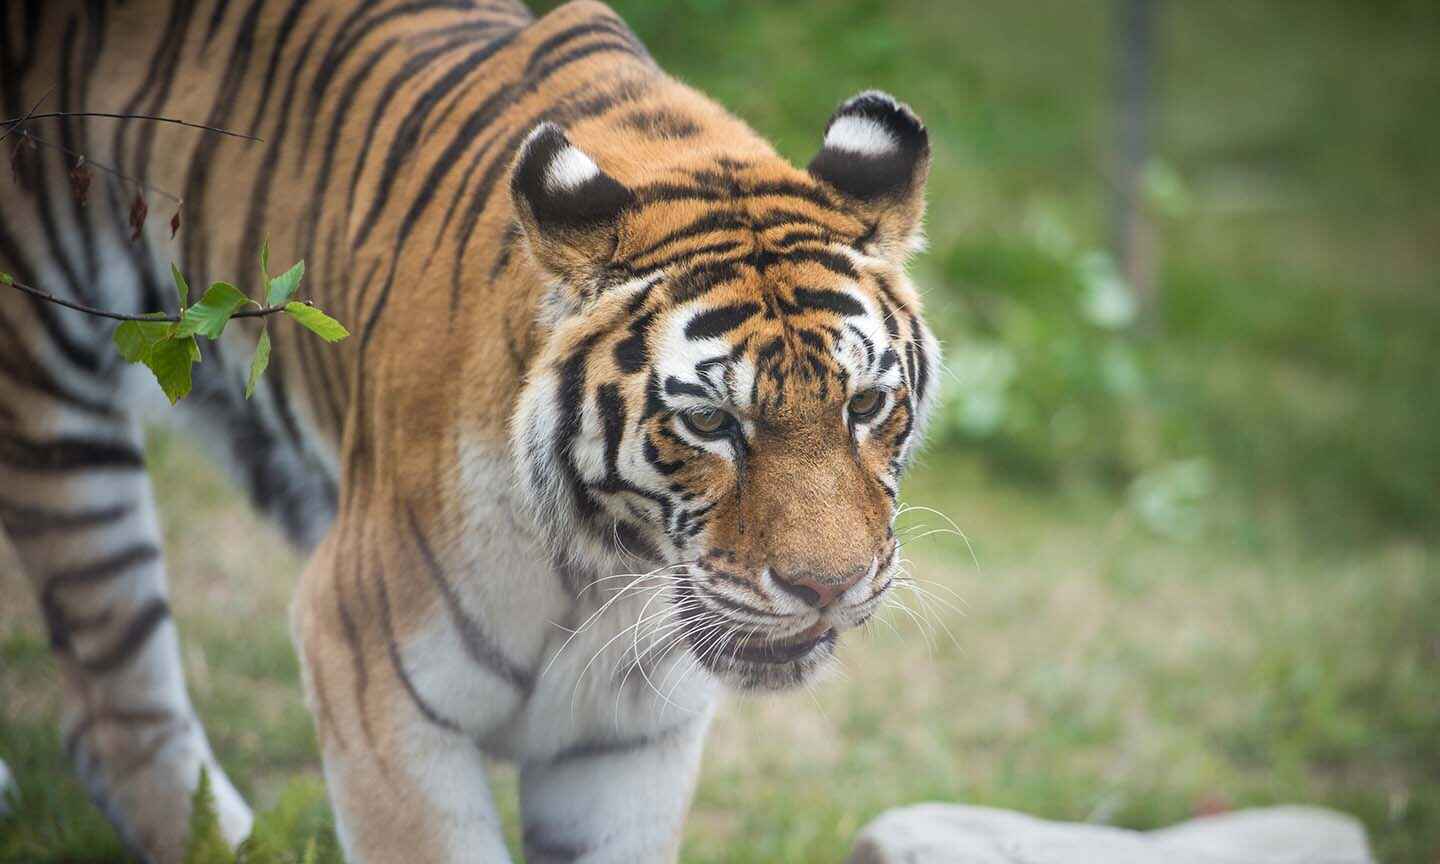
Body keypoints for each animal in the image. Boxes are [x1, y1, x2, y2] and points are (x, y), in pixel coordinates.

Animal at [0, 0, 940, 861]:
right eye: (709, 421)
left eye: (863, 406)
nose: (829, 587)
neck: (604, 572)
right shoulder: (368, 671)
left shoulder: (629, 740)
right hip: (53, 406)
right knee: (116, 716)